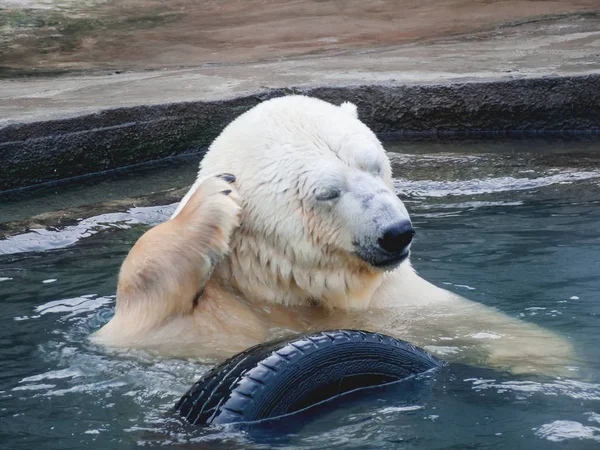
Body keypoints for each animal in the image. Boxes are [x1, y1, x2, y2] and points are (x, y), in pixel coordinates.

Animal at [94, 96, 576, 376]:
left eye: (375, 164)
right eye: (327, 192)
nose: (396, 234)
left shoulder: (390, 298)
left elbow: (457, 319)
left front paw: (543, 354)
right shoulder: (209, 324)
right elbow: (140, 320)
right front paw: (213, 196)